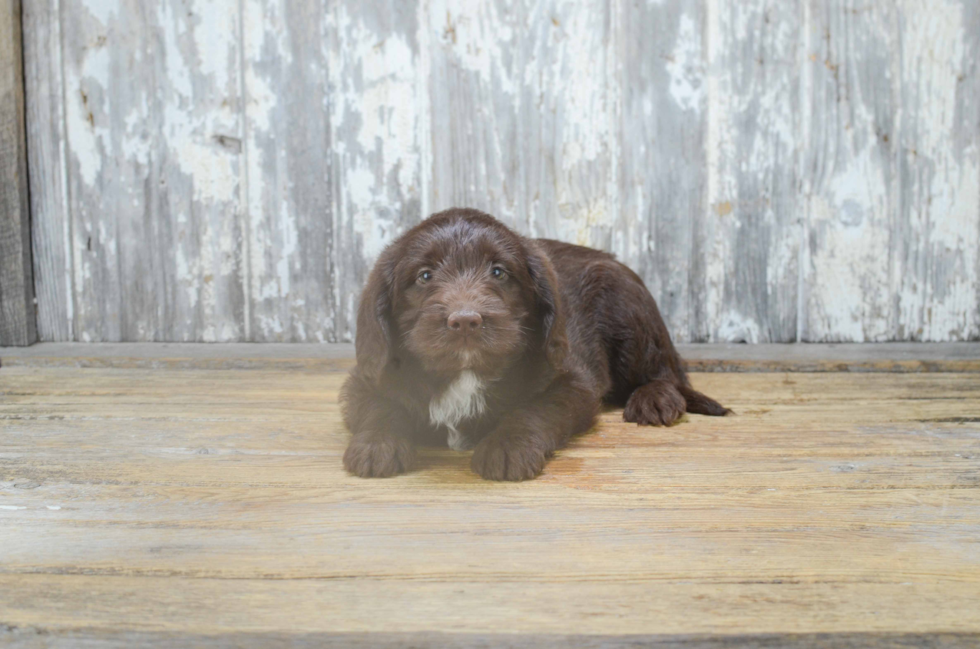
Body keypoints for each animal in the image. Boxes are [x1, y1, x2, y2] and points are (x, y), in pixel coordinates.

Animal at [338, 209, 728, 480]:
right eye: (424, 276)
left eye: (499, 272)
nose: (465, 321)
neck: (464, 372)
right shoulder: (364, 380)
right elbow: (380, 406)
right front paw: (377, 442)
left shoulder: (572, 379)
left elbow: (534, 410)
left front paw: (508, 445)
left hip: (628, 306)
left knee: (665, 372)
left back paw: (655, 398)